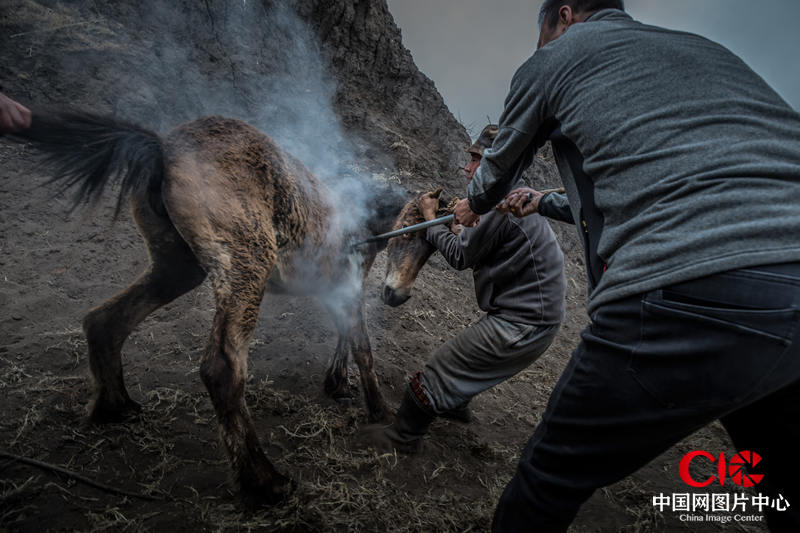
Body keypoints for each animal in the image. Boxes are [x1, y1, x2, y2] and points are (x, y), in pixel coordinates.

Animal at [8, 111, 404, 502]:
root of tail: (165, 149)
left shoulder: (338, 290)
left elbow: (344, 337)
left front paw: (337, 384)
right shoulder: (348, 286)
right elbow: (363, 348)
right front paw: (381, 411)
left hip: (177, 265)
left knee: (106, 320)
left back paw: (115, 407)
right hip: (247, 260)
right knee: (221, 368)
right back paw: (264, 481)